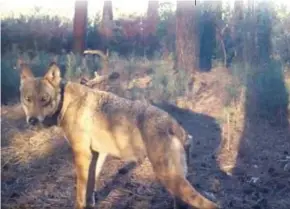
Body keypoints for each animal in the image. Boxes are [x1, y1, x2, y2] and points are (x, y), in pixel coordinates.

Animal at [18, 62, 218, 209]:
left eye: (44, 99)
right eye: (28, 99)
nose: (32, 121)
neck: (66, 103)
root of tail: (175, 125)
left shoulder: (82, 154)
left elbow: (80, 193)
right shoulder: (97, 155)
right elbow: (91, 188)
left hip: (170, 179)